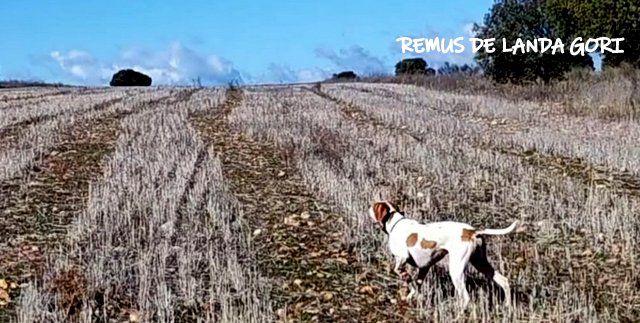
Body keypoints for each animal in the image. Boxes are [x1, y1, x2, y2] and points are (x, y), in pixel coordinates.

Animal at [370, 201, 520, 308]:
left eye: (374, 206)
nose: (368, 208)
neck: (396, 223)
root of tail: (472, 231)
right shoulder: (424, 267)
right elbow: (416, 284)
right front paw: (411, 296)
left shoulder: (402, 257)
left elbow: (398, 271)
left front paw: (406, 279)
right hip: (480, 263)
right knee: (504, 281)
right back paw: (507, 306)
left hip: (457, 271)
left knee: (466, 298)